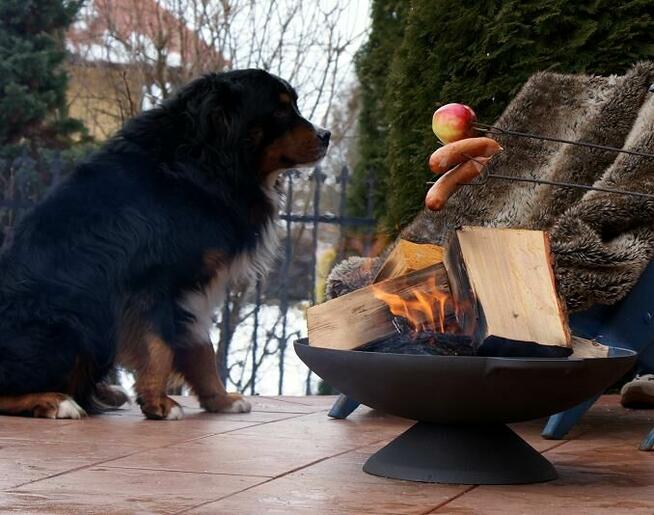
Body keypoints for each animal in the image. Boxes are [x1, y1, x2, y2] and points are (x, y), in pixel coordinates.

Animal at [0, 68, 330, 422]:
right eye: (280, 110)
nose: (326, 135)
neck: (204, 158)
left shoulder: (194, 285)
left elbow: (200, 346)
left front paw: (220, 399)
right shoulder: (153, 280)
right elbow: (158, 344)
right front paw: (158, 402)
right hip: (69, 325)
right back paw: (55, 401)